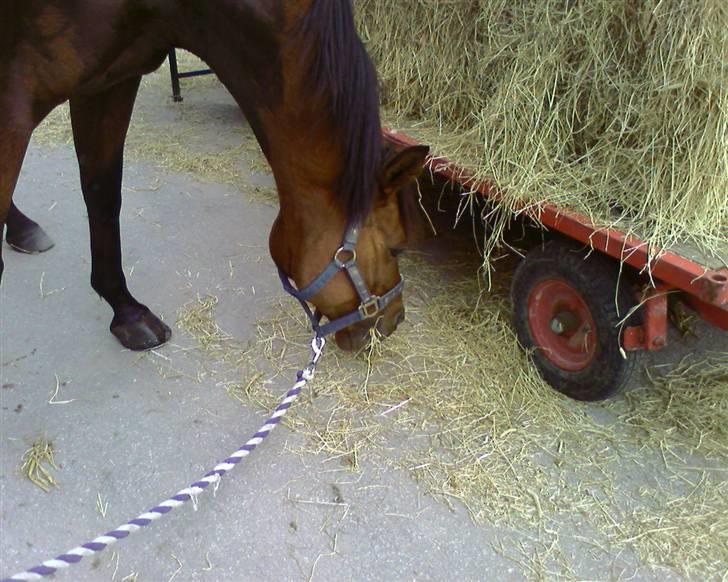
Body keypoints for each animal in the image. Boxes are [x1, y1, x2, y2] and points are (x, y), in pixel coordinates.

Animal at [0, 0, 430, 352]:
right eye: (396, 248)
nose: (394, 320)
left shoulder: (110, 80)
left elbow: (103, 193)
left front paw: (127, 313)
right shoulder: (15, 106)